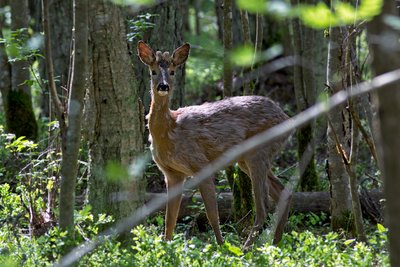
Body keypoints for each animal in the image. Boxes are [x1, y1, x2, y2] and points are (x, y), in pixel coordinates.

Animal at [137, 40, 290, 248]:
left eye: (173, 71)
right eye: (153, 71)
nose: (163, 86)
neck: (170, 130)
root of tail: (287, 118)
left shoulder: (200, 164)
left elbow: (212, 215)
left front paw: (221, 247)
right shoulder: (172, 173)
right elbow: (170, 220)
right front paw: (166, 248)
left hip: (259, 152)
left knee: (263, 207)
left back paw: (247, 248)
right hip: (247, 159)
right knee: (283, 192)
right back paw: (275, 243)